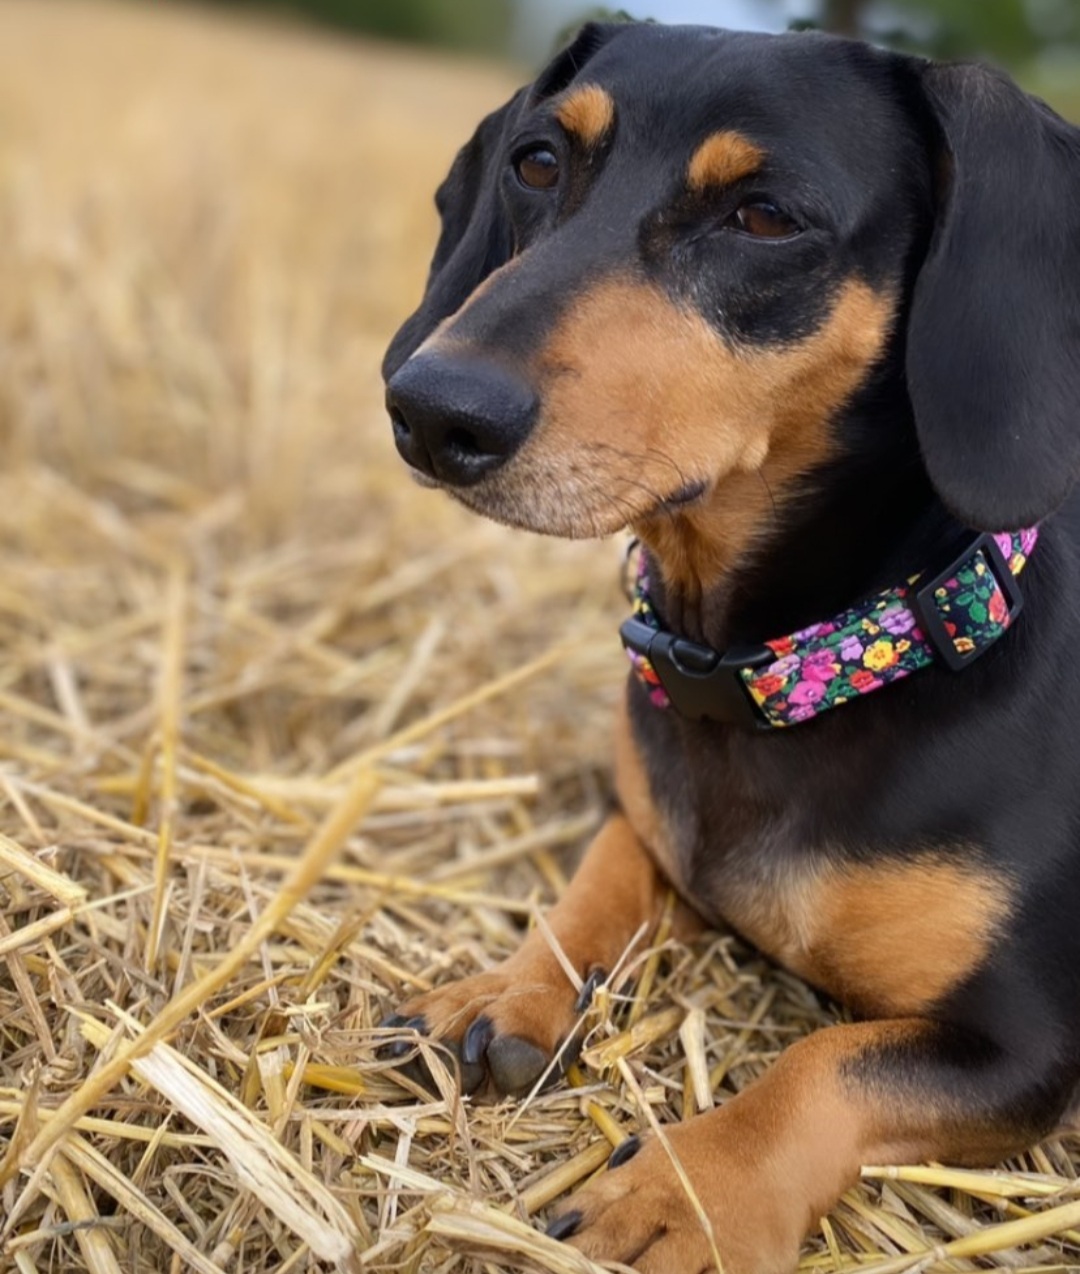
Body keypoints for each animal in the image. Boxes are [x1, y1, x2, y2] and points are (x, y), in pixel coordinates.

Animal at [376, 17, 1080, 1274]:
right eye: (538, 162)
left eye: (764, 217)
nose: (431, 409)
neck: (793, 671)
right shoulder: (647, 820)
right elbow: (600, 875)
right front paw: (509, 985)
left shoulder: (1028, 1042)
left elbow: (823, 1065)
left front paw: (693, 1191)